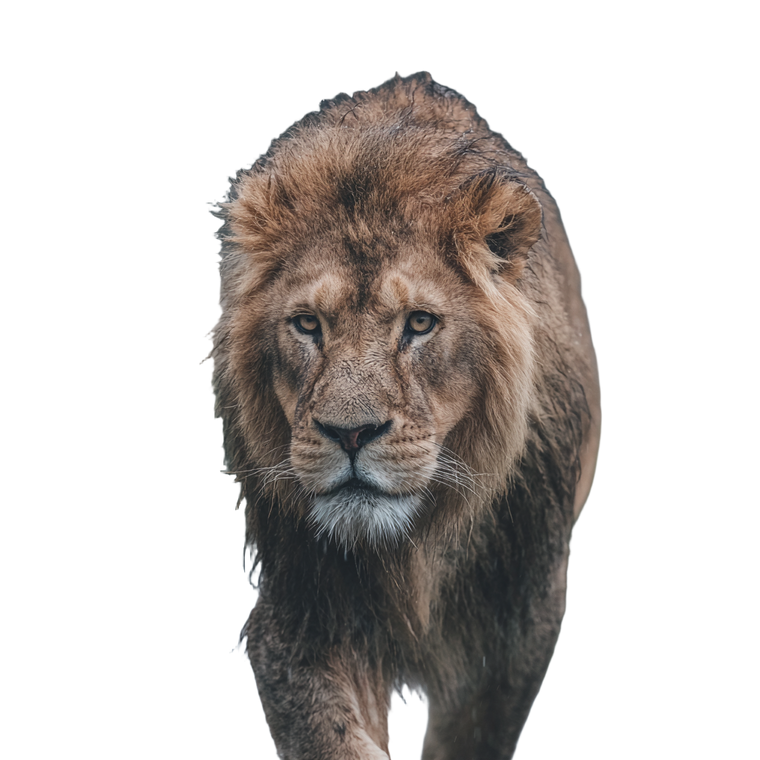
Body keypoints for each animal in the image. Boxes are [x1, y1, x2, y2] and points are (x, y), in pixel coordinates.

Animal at [207, 72, 600, 759]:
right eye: (307, 324)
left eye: (419, 323)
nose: (350, 433)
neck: (411, 550)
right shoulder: (293, 618)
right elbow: (327, 734)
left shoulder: (516, 626)